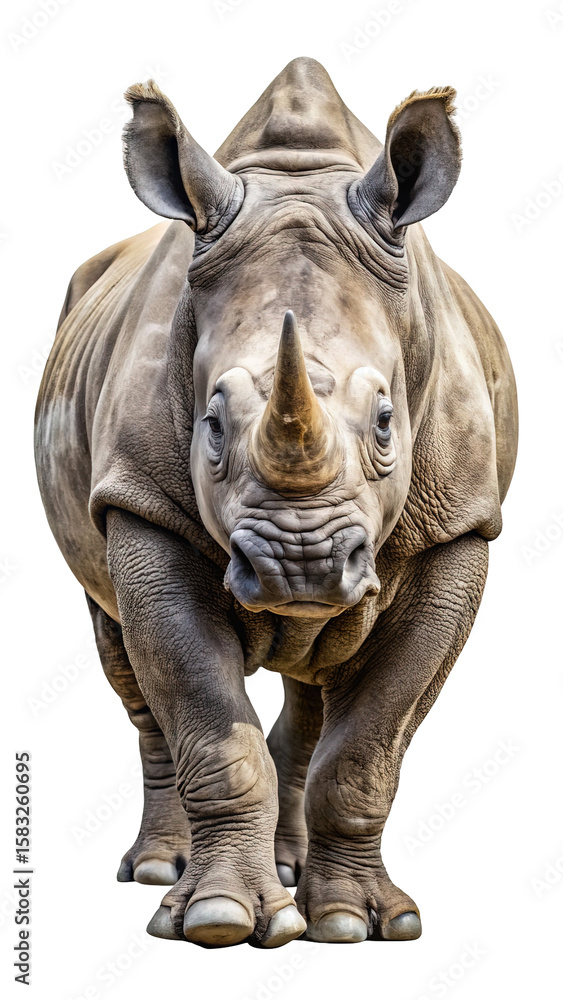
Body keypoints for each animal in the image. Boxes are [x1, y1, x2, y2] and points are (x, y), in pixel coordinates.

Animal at [35, 57, 517, 948]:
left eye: (387, 421)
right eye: (212, 425)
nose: (301, 564)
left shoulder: (457, 527)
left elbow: (370, 745)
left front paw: (358, 923)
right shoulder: (141, 503)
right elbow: (202, 711)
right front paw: (218, 918)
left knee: (316, 681)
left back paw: (298, 877)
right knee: (125, 658)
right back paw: (159, 870)